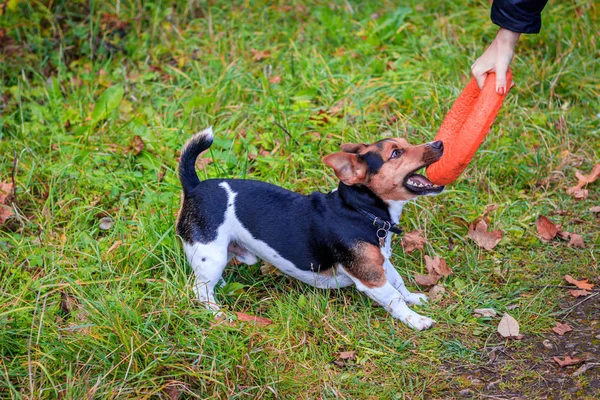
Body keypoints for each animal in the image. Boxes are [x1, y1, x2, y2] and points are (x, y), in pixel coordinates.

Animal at [176, 127, 442, 328]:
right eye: (396, 153)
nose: (439, 143)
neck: (359, 210)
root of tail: (194, 186)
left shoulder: (379, 263)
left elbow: (399, 283)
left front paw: (414, 299)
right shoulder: (371, 277)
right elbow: (394, 298)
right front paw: (416, 320)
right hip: (211, 255)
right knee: (200, 292)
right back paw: (217, 314)